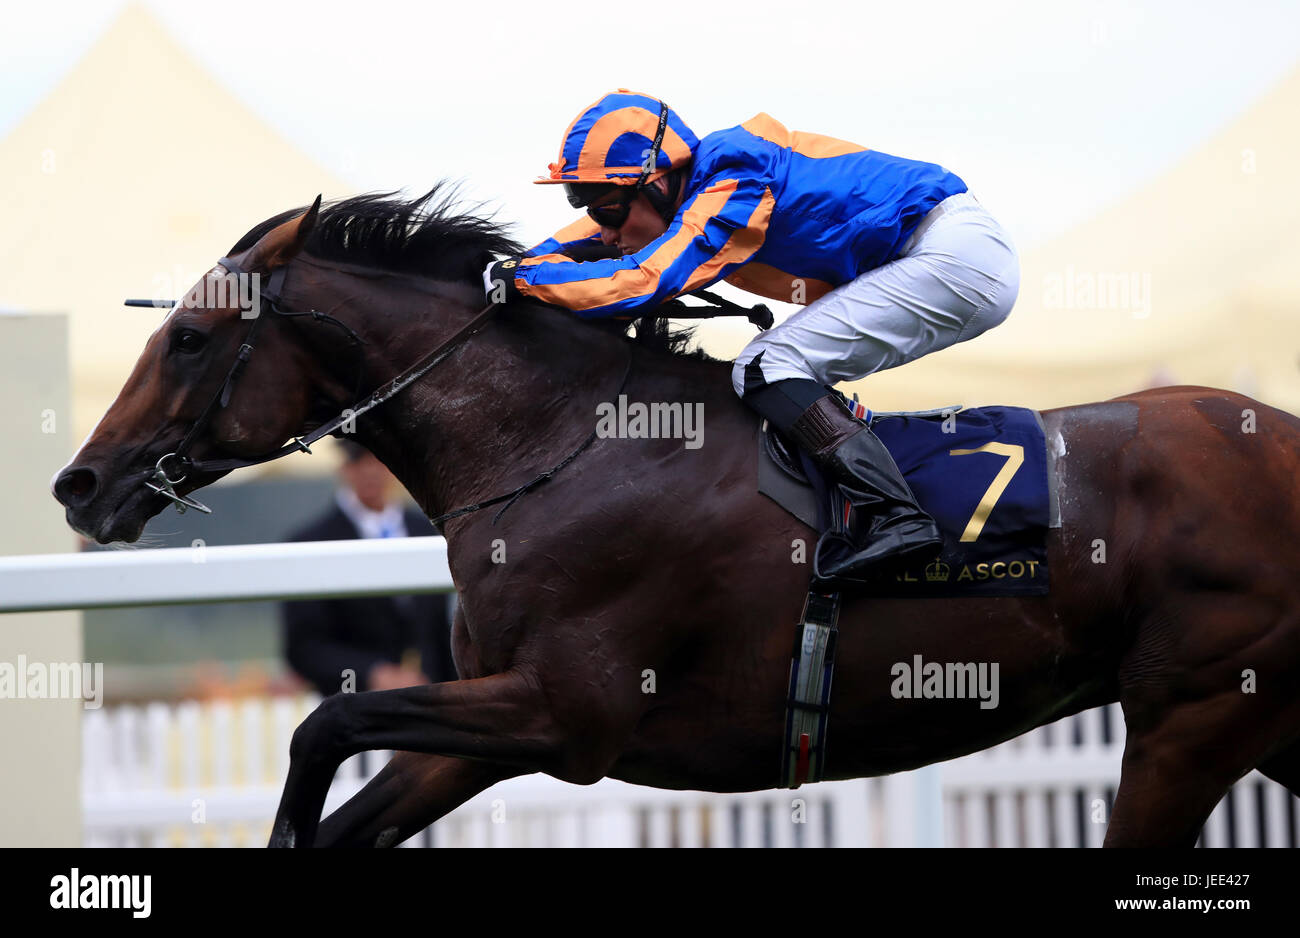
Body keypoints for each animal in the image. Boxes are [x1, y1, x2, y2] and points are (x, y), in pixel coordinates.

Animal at [53, 185, 1300, 841]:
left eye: (190, 337)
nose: (79, 483)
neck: (560, 443)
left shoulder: (569, 712)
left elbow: (326, 721)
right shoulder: (493, 723)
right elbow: (354, 786)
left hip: (1189, 717)